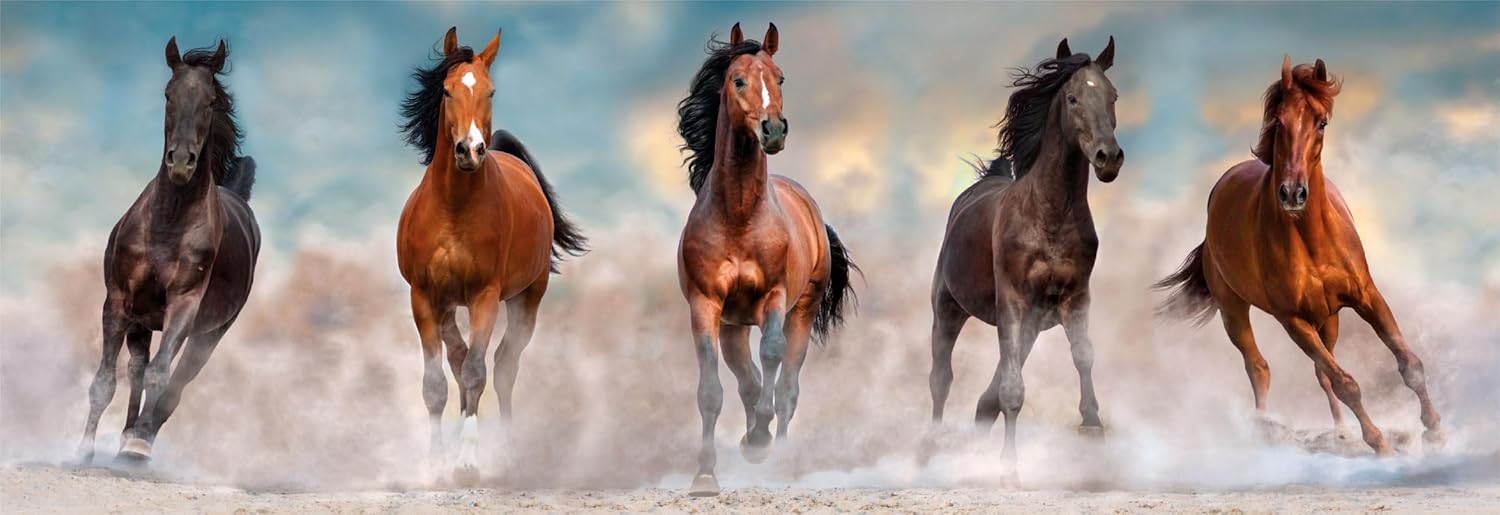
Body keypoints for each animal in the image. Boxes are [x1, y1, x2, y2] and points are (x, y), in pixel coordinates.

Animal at [78, 37, 261, 464]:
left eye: (210, 100)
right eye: (168, 94)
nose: (180, 162)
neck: (169, 223)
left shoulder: (184, 304)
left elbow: (162, 377)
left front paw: (136, 445)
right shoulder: (119, 301)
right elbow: (105, 380)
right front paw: (84, 449)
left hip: (209, 334)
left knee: (175, 382)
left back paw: (138, 441)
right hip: (143, 321)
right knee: (137, 371)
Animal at [396, 27, 587, 481]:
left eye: (491, 91)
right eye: (446, 90)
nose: (470, 150)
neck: (454, 207)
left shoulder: (485, 295)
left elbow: (477, 372)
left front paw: (468, 461)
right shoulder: (423, 297)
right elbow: (436, 383)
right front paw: (436, 463)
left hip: (526, 299)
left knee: (502, 367)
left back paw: (508, 453)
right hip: (449, 305)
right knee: (459, 358)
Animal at [675, 23, 858, 497]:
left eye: (780, 78)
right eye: (738, 79)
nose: (773, 130)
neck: (739, 216)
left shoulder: (774, 297)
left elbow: (772, 357)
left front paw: (759, 440)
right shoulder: (705, 305)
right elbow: (712, 390)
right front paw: (705, 476)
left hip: (803, 310)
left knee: (788, 386)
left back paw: (779, 457)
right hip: (733, 326)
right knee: (747, 379)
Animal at [929, 37, 1122, 482]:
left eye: (1113, 96)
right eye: (1072, 98)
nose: (1109, 158)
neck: (1048, 215)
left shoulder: (1074, 296)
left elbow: (1083, 354)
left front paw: (1092, 427)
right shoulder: (1013, 301)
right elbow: (1012, 391)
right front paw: (1009, 471)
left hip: (1032, 321)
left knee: (989, 391)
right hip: (948, 308)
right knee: (941, 379)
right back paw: (929, 452)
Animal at [1156, 56, 1444, 455]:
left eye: (1321, 122)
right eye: (1279, 121)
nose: (1292, 193)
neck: (1311, 239)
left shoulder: (1367, 297)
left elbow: (1408, 363)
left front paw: (1434, 430)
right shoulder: (1292, 320)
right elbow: (1346, 383)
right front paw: (1380, 444)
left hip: (1329, 319)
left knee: (1321, 372)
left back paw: (1341, 431)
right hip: (1234, 311)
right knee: (1259, 368)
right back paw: (1264, 429)